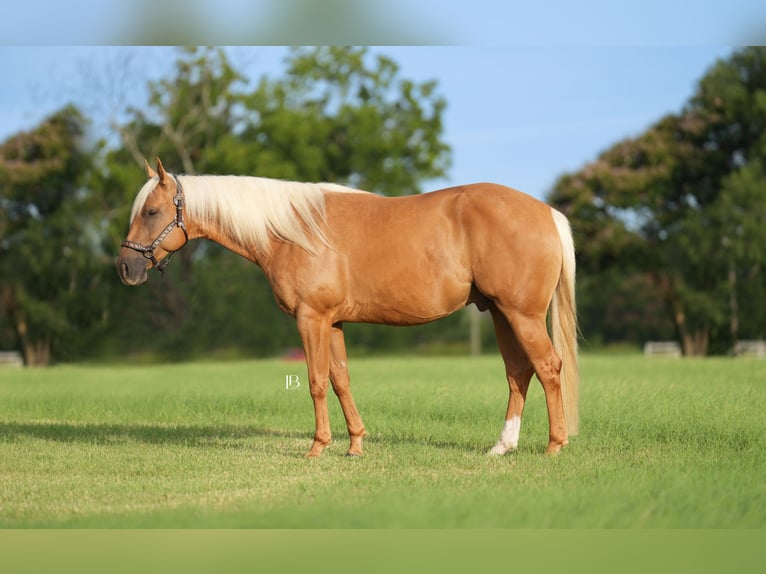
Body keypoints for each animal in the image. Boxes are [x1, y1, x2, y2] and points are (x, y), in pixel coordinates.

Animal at [117, 158, 579, 457]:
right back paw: (502, 446)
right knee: (518, 373)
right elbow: (341, 380)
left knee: (548, 368)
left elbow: (316, 382)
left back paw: (555, 446)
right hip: (501, 313)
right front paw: (355, 444)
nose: (125, 267)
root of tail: (546, 212)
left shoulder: (311, 319)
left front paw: (317, 448)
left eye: (152, 211)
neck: (292, 232)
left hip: (521, 315)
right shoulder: (333, 322)